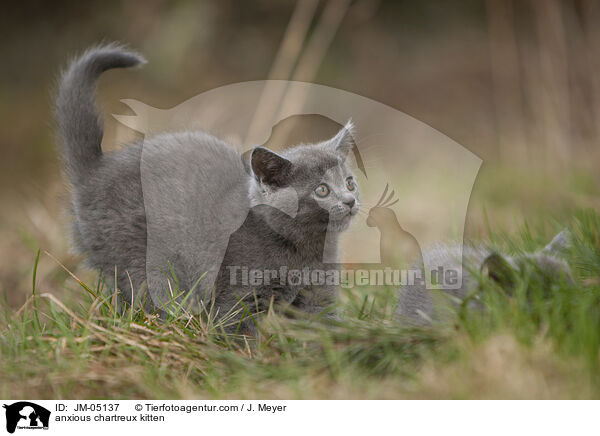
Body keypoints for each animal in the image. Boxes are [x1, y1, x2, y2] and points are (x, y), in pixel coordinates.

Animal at [54, 44, 358, 332]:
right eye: (321, 190)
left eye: (349, 182)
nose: (350, 200)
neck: (304, 251)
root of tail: (96, 171)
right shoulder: (237, 294)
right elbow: (236, 330)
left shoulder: (317, 295)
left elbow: (321, 328)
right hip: (140, 256)